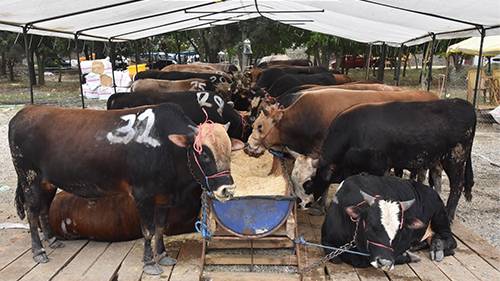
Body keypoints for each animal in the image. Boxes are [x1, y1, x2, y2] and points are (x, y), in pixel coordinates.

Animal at [7, 103, 242, 274]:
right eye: (204, 154)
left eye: (230, 150)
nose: (227, 190)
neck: (164, 145)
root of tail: (23, 113)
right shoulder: (143, 195)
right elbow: (148, 230)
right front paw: (149, 263)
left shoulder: (163, 197)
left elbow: (160, 227)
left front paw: (162, 255)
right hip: (30, 179)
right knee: (32, 213)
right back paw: (39, 251)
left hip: (47, 183)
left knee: (43, 210)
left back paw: (52, 240)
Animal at [308, 97, 476, 220]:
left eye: (310, 181)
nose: (309, 201)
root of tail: (464, 103)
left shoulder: (379, 166)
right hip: (437, 159)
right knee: (437, 178)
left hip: (455, 158)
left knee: (457, 186)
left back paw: (449, 216)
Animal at [320, 173, 458, 270]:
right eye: (370, 227)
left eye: (399, 231)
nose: (384, 262)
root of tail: (431, 190)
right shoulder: (326, 241)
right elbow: (342, 258)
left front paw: (407, 256)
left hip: (440, 216)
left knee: (451, 240)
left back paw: (437, 248)